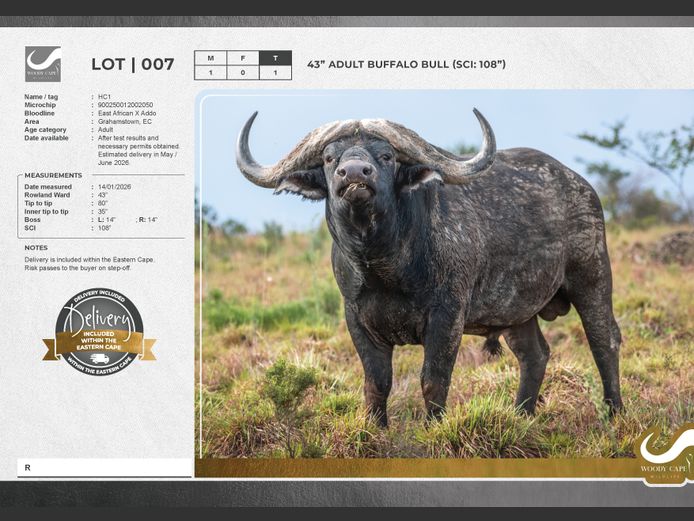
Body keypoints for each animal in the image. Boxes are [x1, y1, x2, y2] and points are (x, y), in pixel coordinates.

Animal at [235, 109, 622, 427]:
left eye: (386, 155)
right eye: (330, 158)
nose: (355, 172)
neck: (384, 267)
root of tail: (581, 186)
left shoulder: (447, 315)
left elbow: (433, 380)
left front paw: (433, 427)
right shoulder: (356, 318)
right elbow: (377, 382)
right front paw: (376, 429)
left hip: (593, 278)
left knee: (605, 342)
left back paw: (614, 413)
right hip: (516, 311)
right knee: (535, 355)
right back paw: (521, 416)